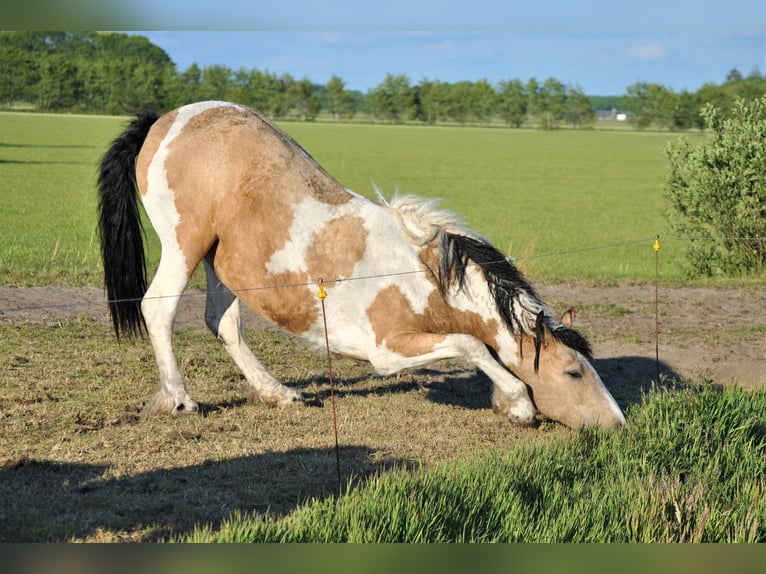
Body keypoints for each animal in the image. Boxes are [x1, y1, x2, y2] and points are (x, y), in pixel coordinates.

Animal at [97, 100, 625, 429]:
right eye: (574, 373)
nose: (620, 424)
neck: (422, 275)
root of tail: (166, 120)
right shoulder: (387, 350)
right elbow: (471, 344)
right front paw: (516, 404)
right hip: (184, 246)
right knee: (158, 309)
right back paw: (180, 399)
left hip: (219, 262)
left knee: (222, 323)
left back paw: (278, 393)